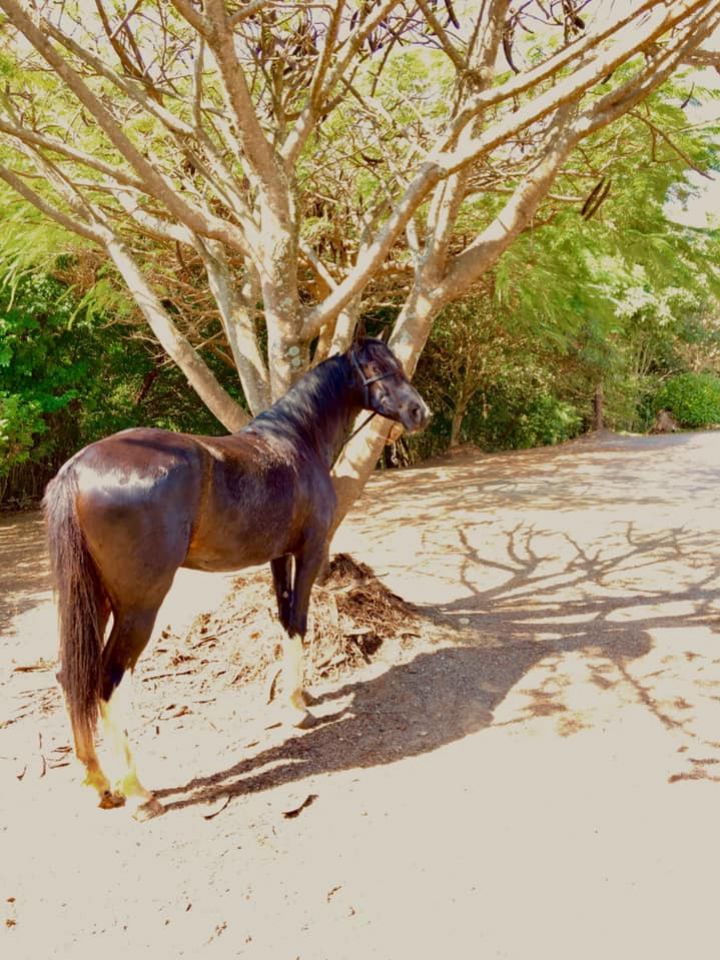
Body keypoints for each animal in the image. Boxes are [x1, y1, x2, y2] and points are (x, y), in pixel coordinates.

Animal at [44, 338, 430, 817]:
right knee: (107, 681)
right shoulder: (310, 552)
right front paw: (298, 709)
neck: (297, 442)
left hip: (92, 598)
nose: (419, 412)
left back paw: (100, 784)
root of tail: (77, 468)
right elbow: (300, 621)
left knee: (70, 676)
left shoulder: (278, 557)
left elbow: (284, 621)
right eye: (376, 369)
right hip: (138, 607)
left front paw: (298, 696)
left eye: (398, 365)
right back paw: (138, 792)